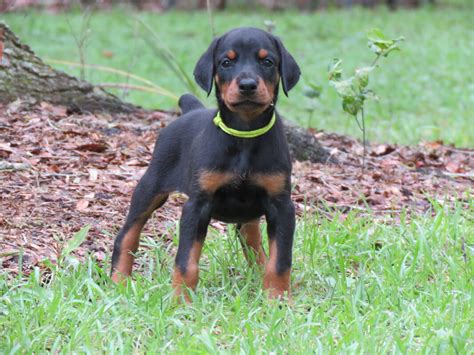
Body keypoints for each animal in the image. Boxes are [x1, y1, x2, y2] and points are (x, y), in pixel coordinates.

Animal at [111, 26, 300, 302]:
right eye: (226, 62)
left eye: (268, 62)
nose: (247, 85)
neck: (244, 133)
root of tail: (191, 111)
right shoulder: (197, 205)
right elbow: (186, 261)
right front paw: (181, 301)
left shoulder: (281, 205)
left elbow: (280, 261)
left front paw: (277, 299)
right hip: (150, 187)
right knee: (126, 235)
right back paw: (118, 283)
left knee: (250, 235)